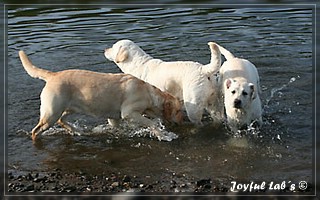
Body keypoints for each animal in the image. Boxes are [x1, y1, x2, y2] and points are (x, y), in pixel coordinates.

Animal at [18, 50, 182, 141]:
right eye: (179, 111)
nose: (181, 121)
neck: (149, 93)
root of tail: (53, 75)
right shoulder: (129, 113)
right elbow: (151, 123)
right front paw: (163, 135)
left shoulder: (114, 118)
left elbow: (118, 127)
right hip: (51, 113)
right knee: (36, 130)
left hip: (68, 109)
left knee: (61, 120)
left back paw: (76, 131)